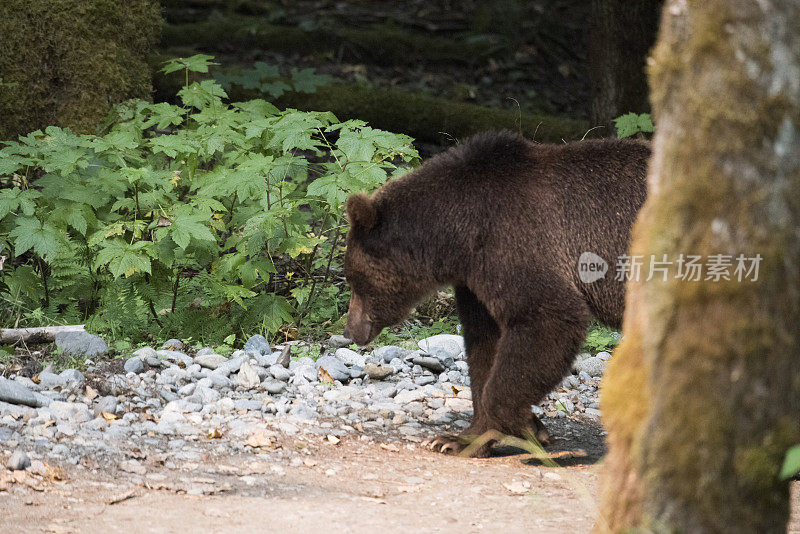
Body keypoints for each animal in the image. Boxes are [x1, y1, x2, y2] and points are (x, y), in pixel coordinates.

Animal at [344, 132, 648, 458]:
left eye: (355, 280)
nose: (351, 331)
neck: (457, 232)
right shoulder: (475, 279)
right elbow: (484, 344)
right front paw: (462, 437)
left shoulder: (516, 240)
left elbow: (547, 317)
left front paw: (521, 425)